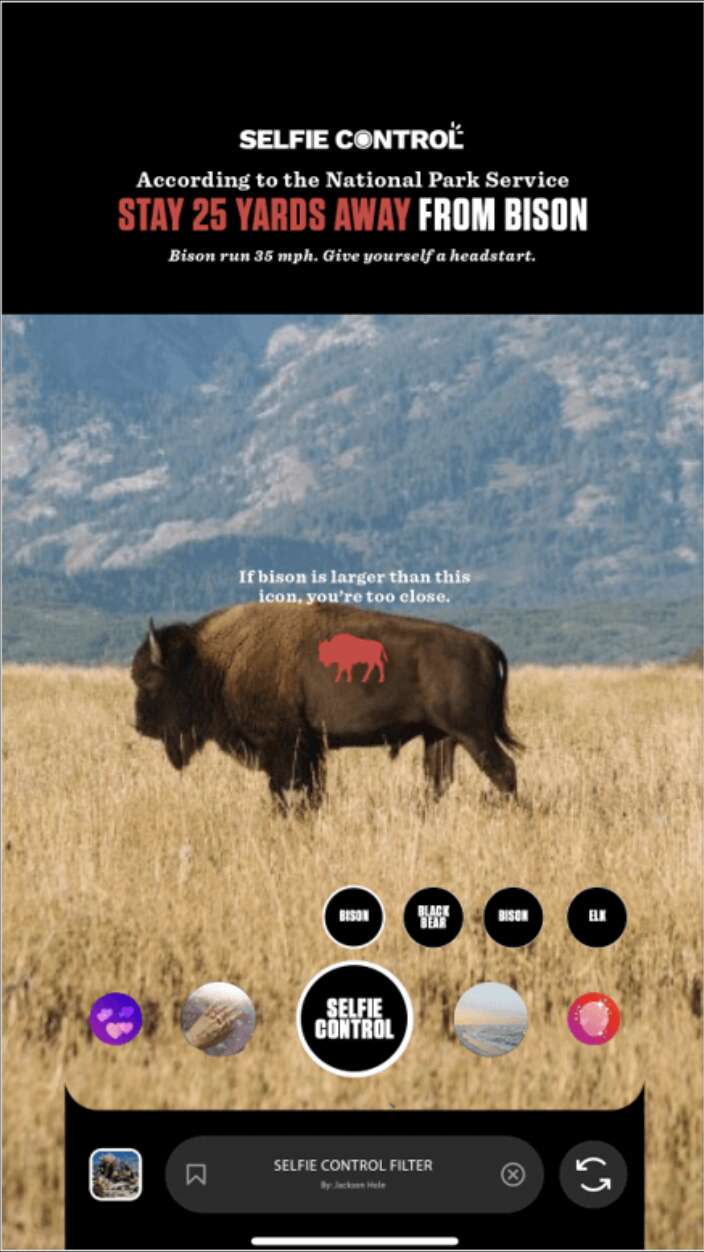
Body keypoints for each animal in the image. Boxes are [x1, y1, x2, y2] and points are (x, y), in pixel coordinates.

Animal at [130, 601, 522, 810]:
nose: (139, 724)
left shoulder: (285, 747)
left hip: (473, 734)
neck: (214, 660)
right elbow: (311, 791)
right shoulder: (310, 748)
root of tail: (485, 644)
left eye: (149, 679)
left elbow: (287, 790)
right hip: (440, 737)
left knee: (503, 770)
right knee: (438, 781)